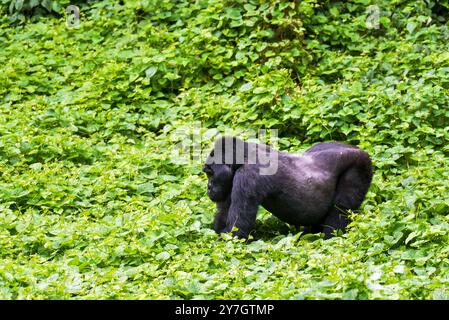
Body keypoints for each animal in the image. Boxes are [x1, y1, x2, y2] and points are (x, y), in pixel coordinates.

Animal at [202, 136, 372, 239]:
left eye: (210, 174)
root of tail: (360, 150)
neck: (244, 156)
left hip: (360, 166)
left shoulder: (248, 176)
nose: (208, 188)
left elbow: (237, 228)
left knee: (340, 209)